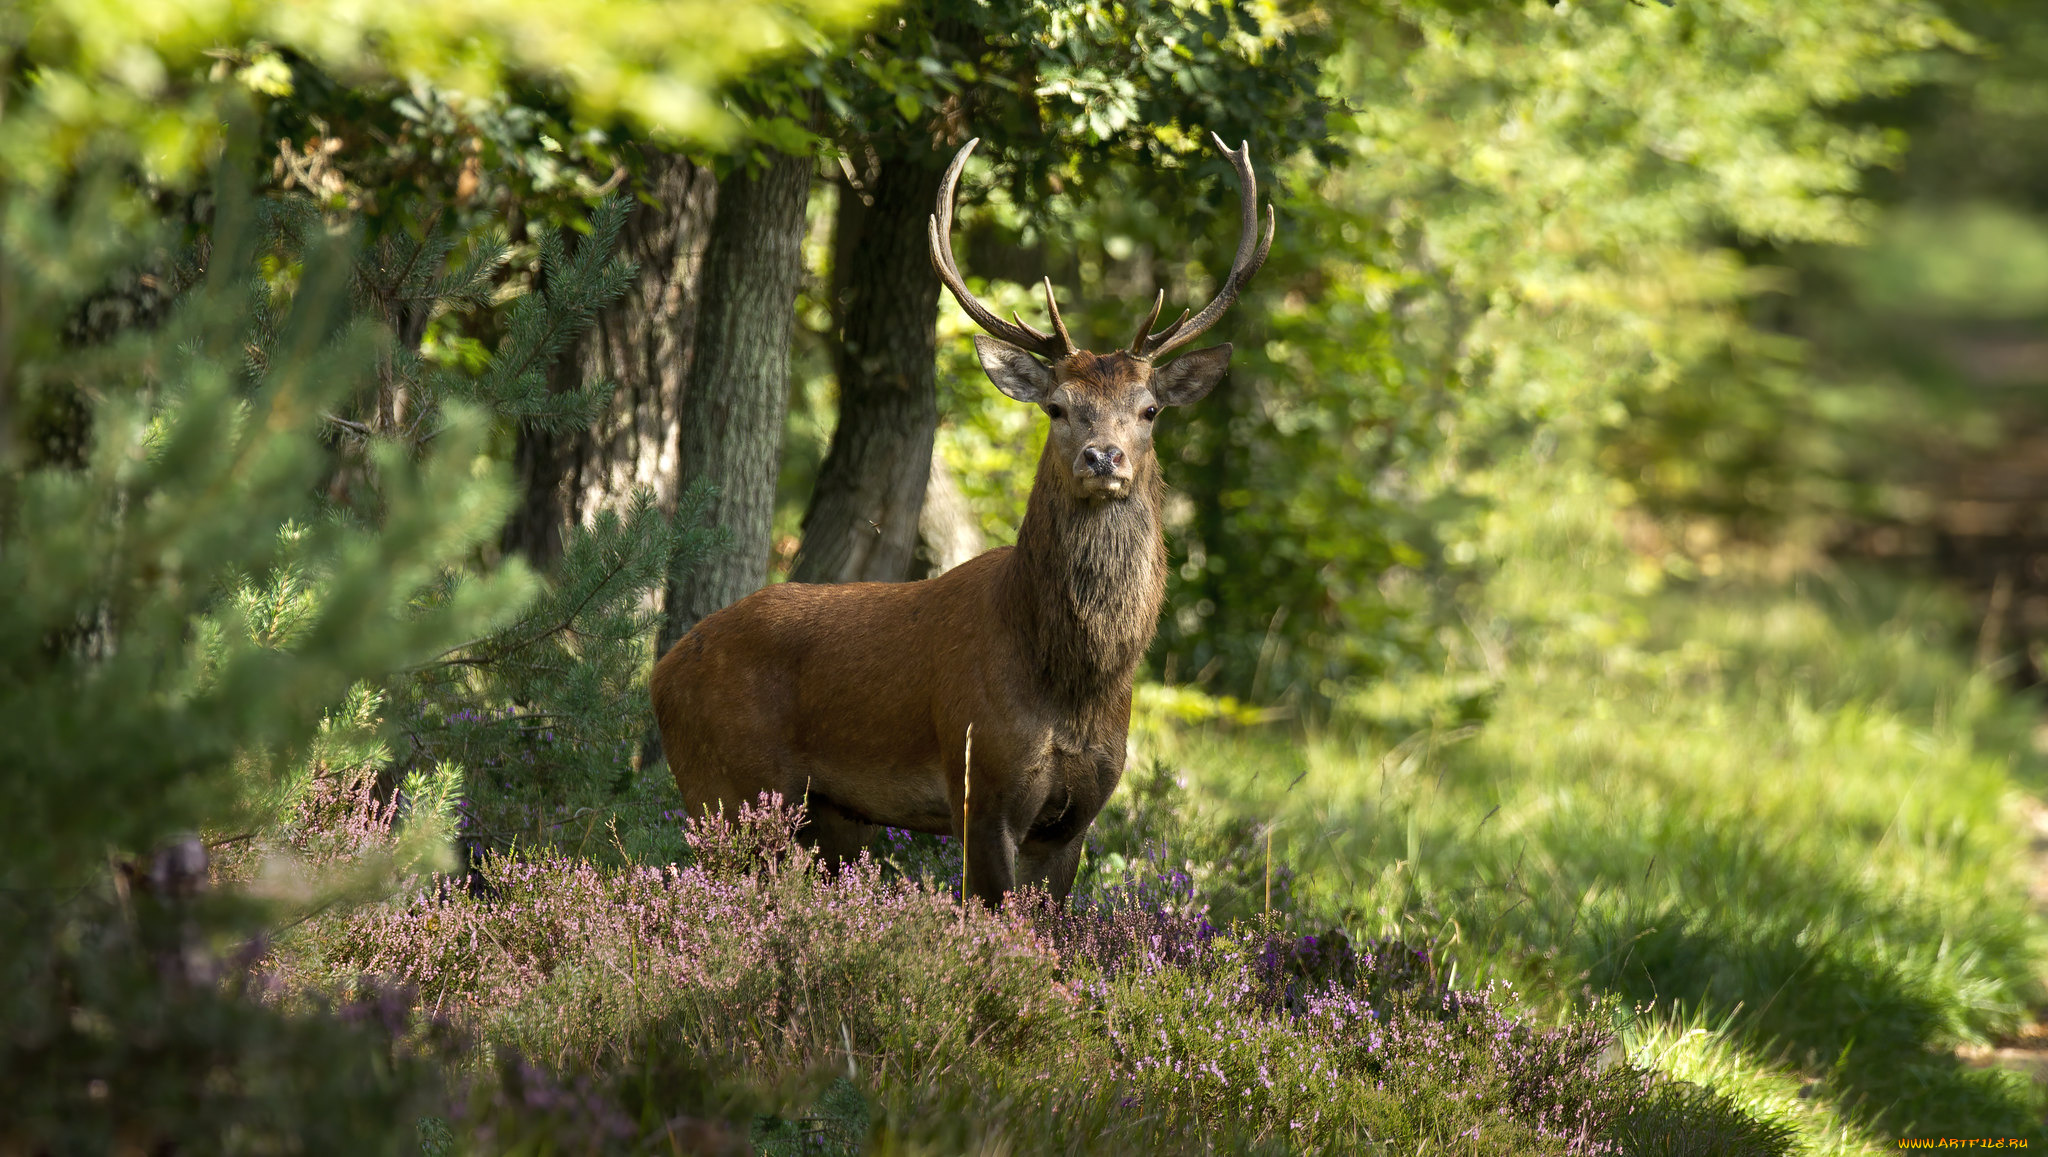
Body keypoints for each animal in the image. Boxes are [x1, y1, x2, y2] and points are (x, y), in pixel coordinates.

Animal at [651, 133, 1261, 901]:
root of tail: (659, 674)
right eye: (1056, 406)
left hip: (829, 817)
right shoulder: (982, 781)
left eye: (1150, 409)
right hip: (725, 788)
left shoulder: (1078, 812)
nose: (1103, 456)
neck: (1071, 679)